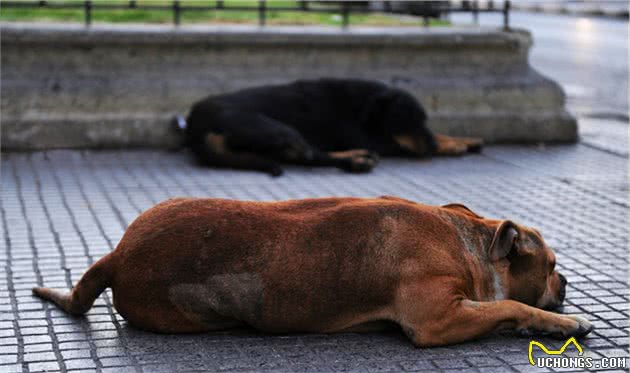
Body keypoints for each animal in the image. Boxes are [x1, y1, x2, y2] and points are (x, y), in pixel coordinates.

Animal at [33, 196, 596, 344]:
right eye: (552, 266)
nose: (566, 281)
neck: (466, 243)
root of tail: (117, 254)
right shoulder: (439, 319)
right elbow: (508, 304)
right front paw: (559, 322)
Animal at [178, 77, 484, 176]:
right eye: (405, 121)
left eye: (423, 119)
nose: (429, 148)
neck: (364, 105)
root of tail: (195, 126)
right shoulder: (374, 139)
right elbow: (408, 144)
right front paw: (452, 145)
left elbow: (441, 133)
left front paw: (465, 140)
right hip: (278, 128)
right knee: (311, 156)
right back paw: (357, 159)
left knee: (300, 157)